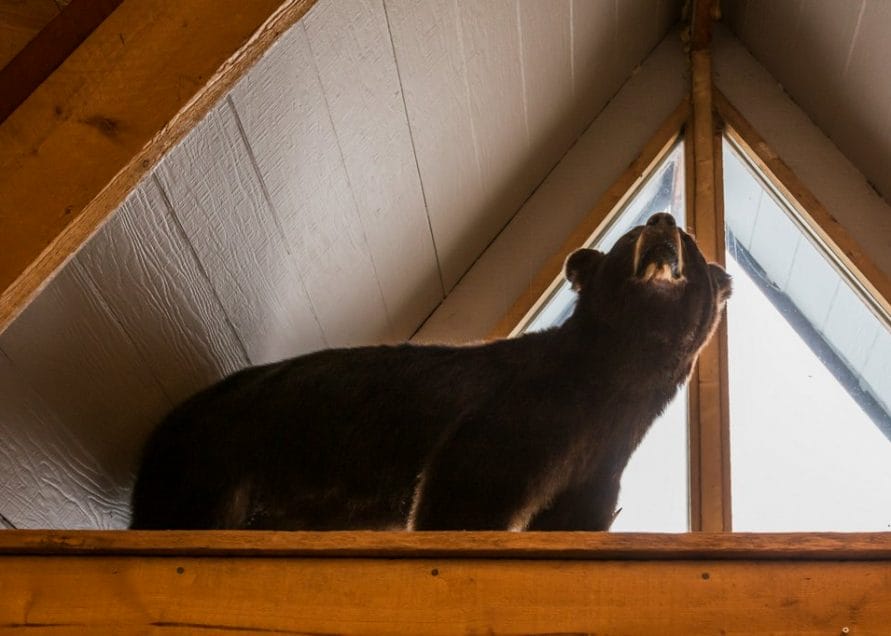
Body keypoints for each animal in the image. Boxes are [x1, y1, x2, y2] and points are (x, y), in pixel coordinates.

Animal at [130, 212, 731, 531]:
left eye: (690, 240)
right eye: (630, 234)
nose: (662, 222)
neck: (613, 387)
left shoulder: (596, 462)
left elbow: (575, 516)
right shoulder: (517, 418)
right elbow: (469, 488)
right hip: (215, 456)